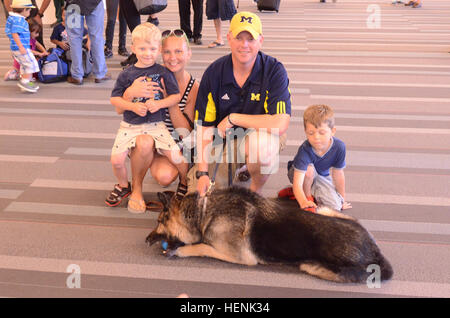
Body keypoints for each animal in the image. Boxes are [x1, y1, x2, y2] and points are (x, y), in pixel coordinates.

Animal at [146, 186, 392, 284]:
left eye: (159, 222)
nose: (146, 240)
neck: (204, 211)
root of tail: (376, 251)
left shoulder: (239, 257)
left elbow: (201, 246)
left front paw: (181, 250)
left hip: (314, 266)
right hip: (324, 210)